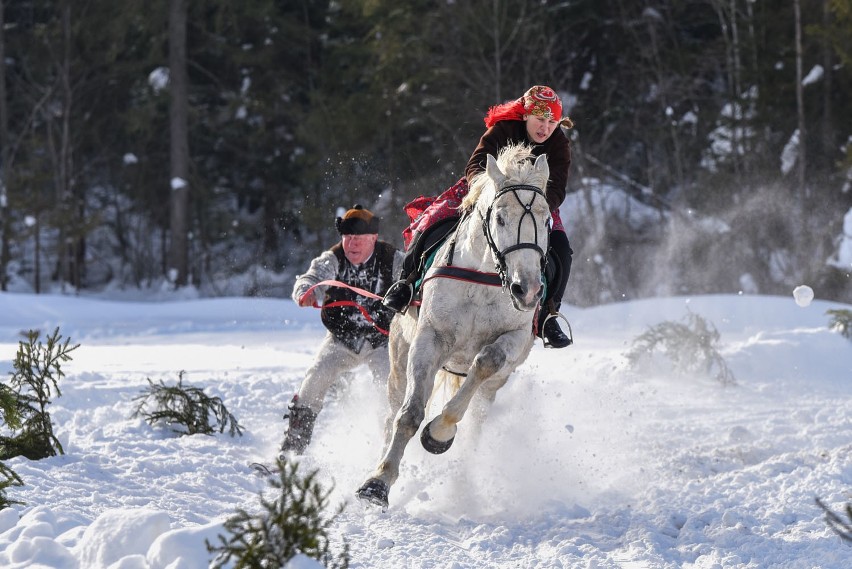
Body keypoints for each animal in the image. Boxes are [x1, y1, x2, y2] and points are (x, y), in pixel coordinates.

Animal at [354, 142, 548, 506]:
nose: (527, 290)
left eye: (546, 220)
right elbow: (409, 414)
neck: (482, 277)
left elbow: (485, 363)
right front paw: (378, 482)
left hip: (494, 385)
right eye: (500, 218)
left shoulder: (513, 340)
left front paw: (439, 433)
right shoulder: (429, 339)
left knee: (476, 422)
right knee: (392, 411)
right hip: (398, 357)